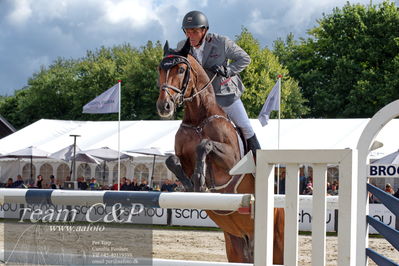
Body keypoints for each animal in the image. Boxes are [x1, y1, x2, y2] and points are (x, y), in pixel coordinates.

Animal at [156, 39, 284, 264]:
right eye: (159, 70)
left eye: (181, 70)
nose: (164, 106)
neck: (198, 118)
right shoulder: (181, 156)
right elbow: (171, 160)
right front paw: (190, 184)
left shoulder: (231, 161)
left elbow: (205, 145)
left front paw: (200, 179)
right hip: (236, 245)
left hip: (277, 243)